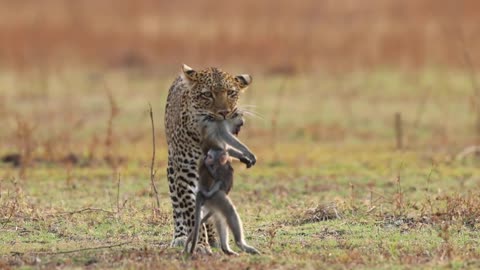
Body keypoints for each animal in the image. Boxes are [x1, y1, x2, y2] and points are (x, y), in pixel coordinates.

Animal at [164, 64, 253, 250]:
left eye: (231, 93)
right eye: (207, 94)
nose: (224, 112)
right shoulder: (185, 172)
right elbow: (191, 210)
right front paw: (199, 244)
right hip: (172, 168)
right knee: (176, 202)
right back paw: (181, 236)